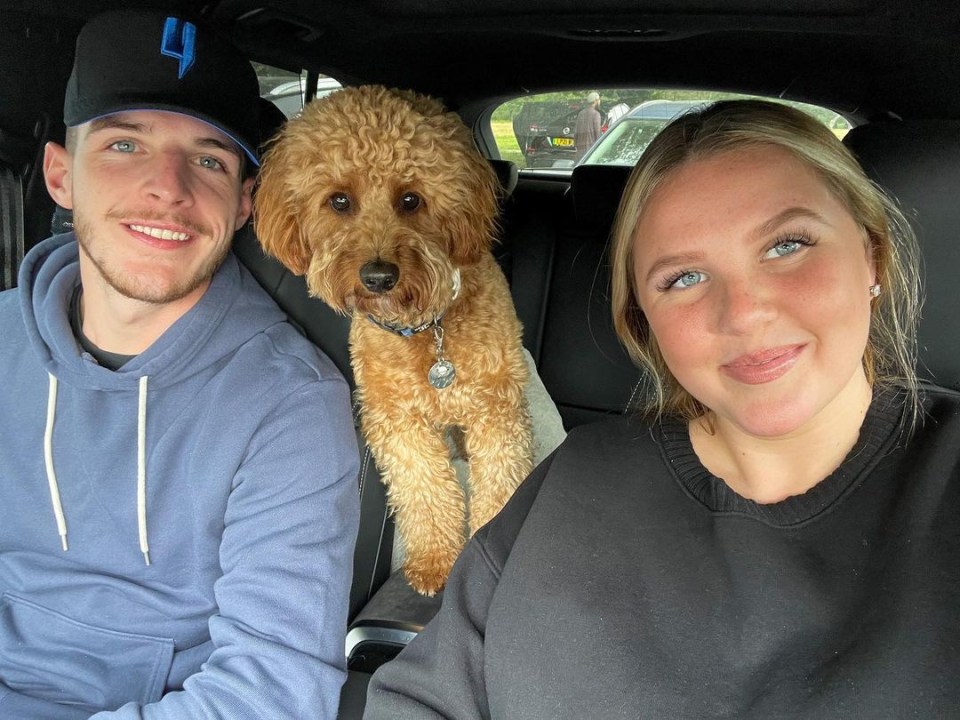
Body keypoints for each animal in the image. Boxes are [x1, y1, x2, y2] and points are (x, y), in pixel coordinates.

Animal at [255, 84, 536, 596]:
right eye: (339, 201)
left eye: (411, 199)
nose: (379, 276)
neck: (427, 329)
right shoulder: (397, 421)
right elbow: (424, 487)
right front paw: (436, 561)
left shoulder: (496, 407)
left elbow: (502, 482)